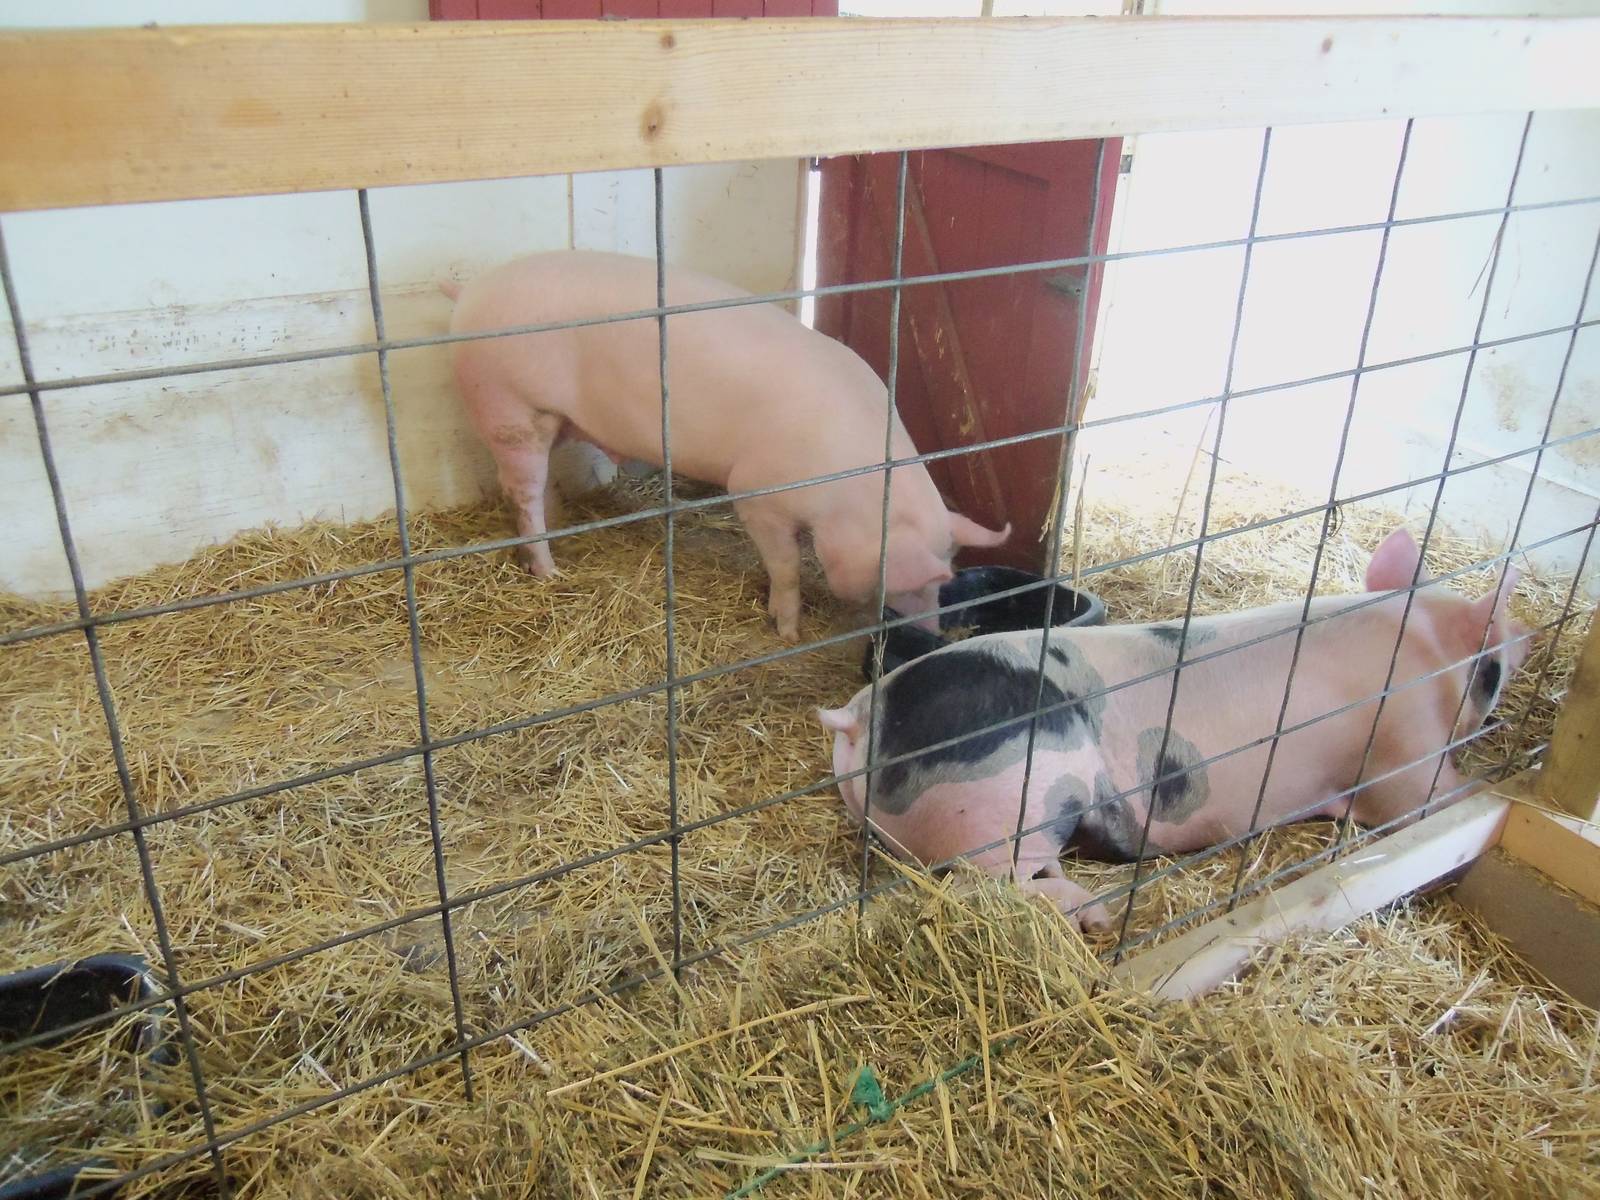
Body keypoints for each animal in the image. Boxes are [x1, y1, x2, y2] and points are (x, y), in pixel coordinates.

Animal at [440, 251, 1009, 641]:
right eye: (914, 581)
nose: (934, 632)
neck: (848, 488)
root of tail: (472, 291)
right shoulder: (755, 493)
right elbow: (786, 566)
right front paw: (787, 631)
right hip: (507, 406)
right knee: (521, 490)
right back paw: (549, 571)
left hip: (543, 418)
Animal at [817, 527, 1531, 933]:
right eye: (1494, 667)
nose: (1525, 640)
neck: (1430, 653)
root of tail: (860, 718)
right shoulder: (1406, 747)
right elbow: (1432, 800)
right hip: (1024, 791)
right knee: (992, 887)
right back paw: (1097, 916)